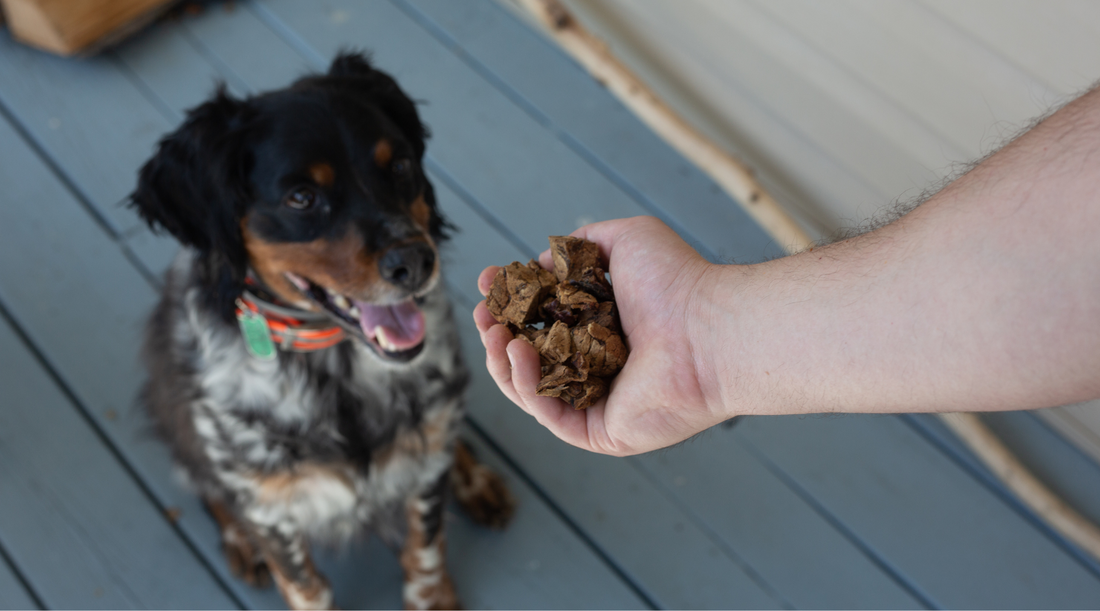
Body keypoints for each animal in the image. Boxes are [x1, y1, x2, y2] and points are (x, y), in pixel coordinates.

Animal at [132, 53, 514, 611]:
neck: (338, 370)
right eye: (301, 197)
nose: (417, 261)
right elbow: (304, 585)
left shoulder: (424, 474)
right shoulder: (270, 509)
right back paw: (239, 540)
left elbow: (424, 551)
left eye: (400, 165)